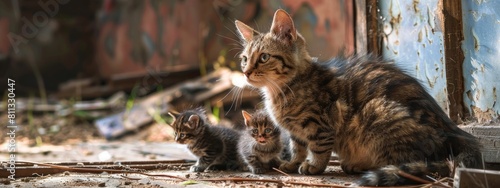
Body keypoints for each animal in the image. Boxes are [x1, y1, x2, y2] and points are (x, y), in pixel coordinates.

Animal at [236, 9, 482, 187]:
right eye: (244, 59)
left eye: (264, 57)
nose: (245, 72)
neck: (279, 91)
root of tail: (453, 132)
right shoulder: (296, 133)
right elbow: (298, 147)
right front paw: (292, 163)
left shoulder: (321, 124)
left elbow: (318, 148)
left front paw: (314, 166)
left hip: (376, 111)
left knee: (410, 162)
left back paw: (361, 165)